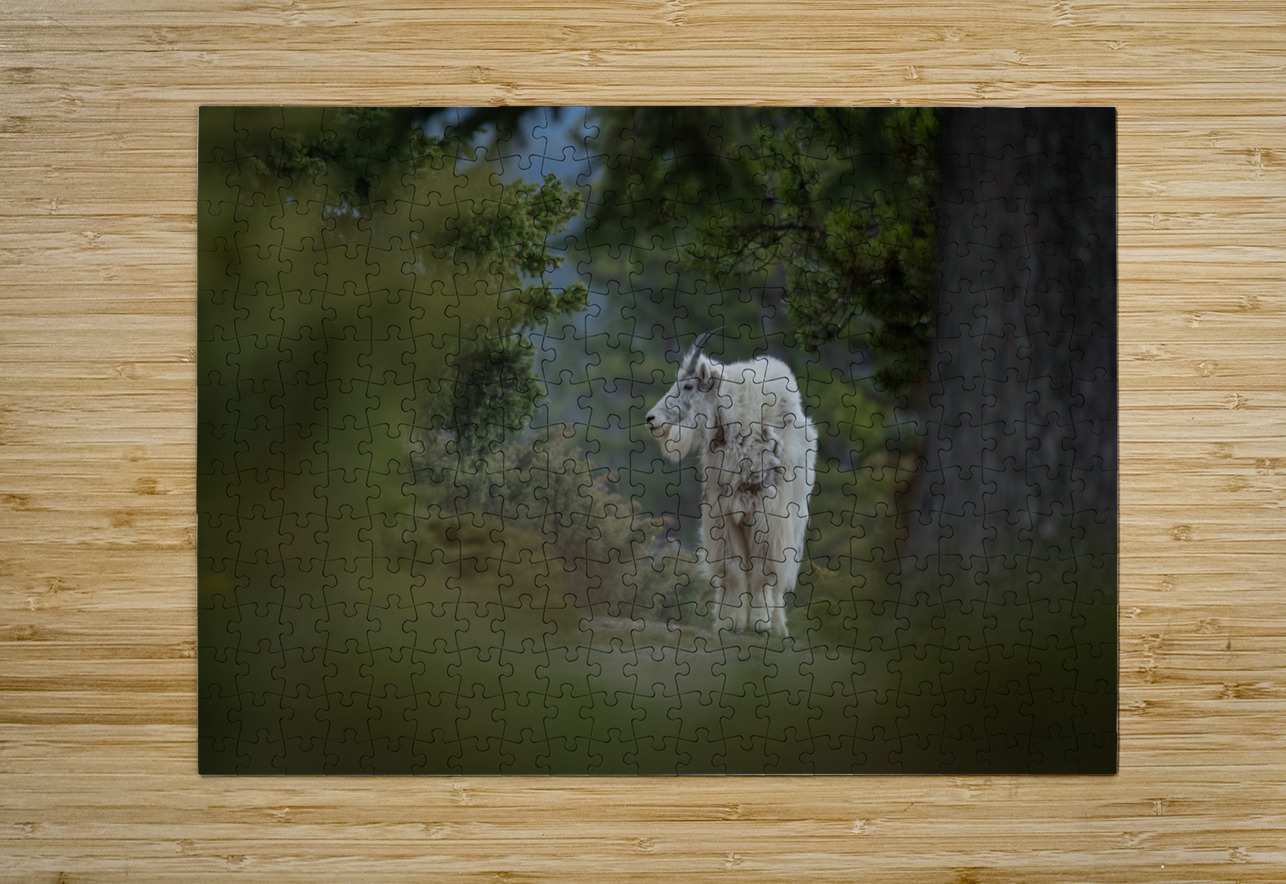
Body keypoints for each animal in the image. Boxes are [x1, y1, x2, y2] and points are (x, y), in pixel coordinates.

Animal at [645, 330, 817, 638]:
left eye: (688, 385)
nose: (651, 419)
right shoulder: (724, 515)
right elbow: (734, 570)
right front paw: (730, 622)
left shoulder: (769, 516)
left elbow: (762, 573)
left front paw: (759, 622)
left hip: (795, 522)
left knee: (780, 577)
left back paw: (778, 626)